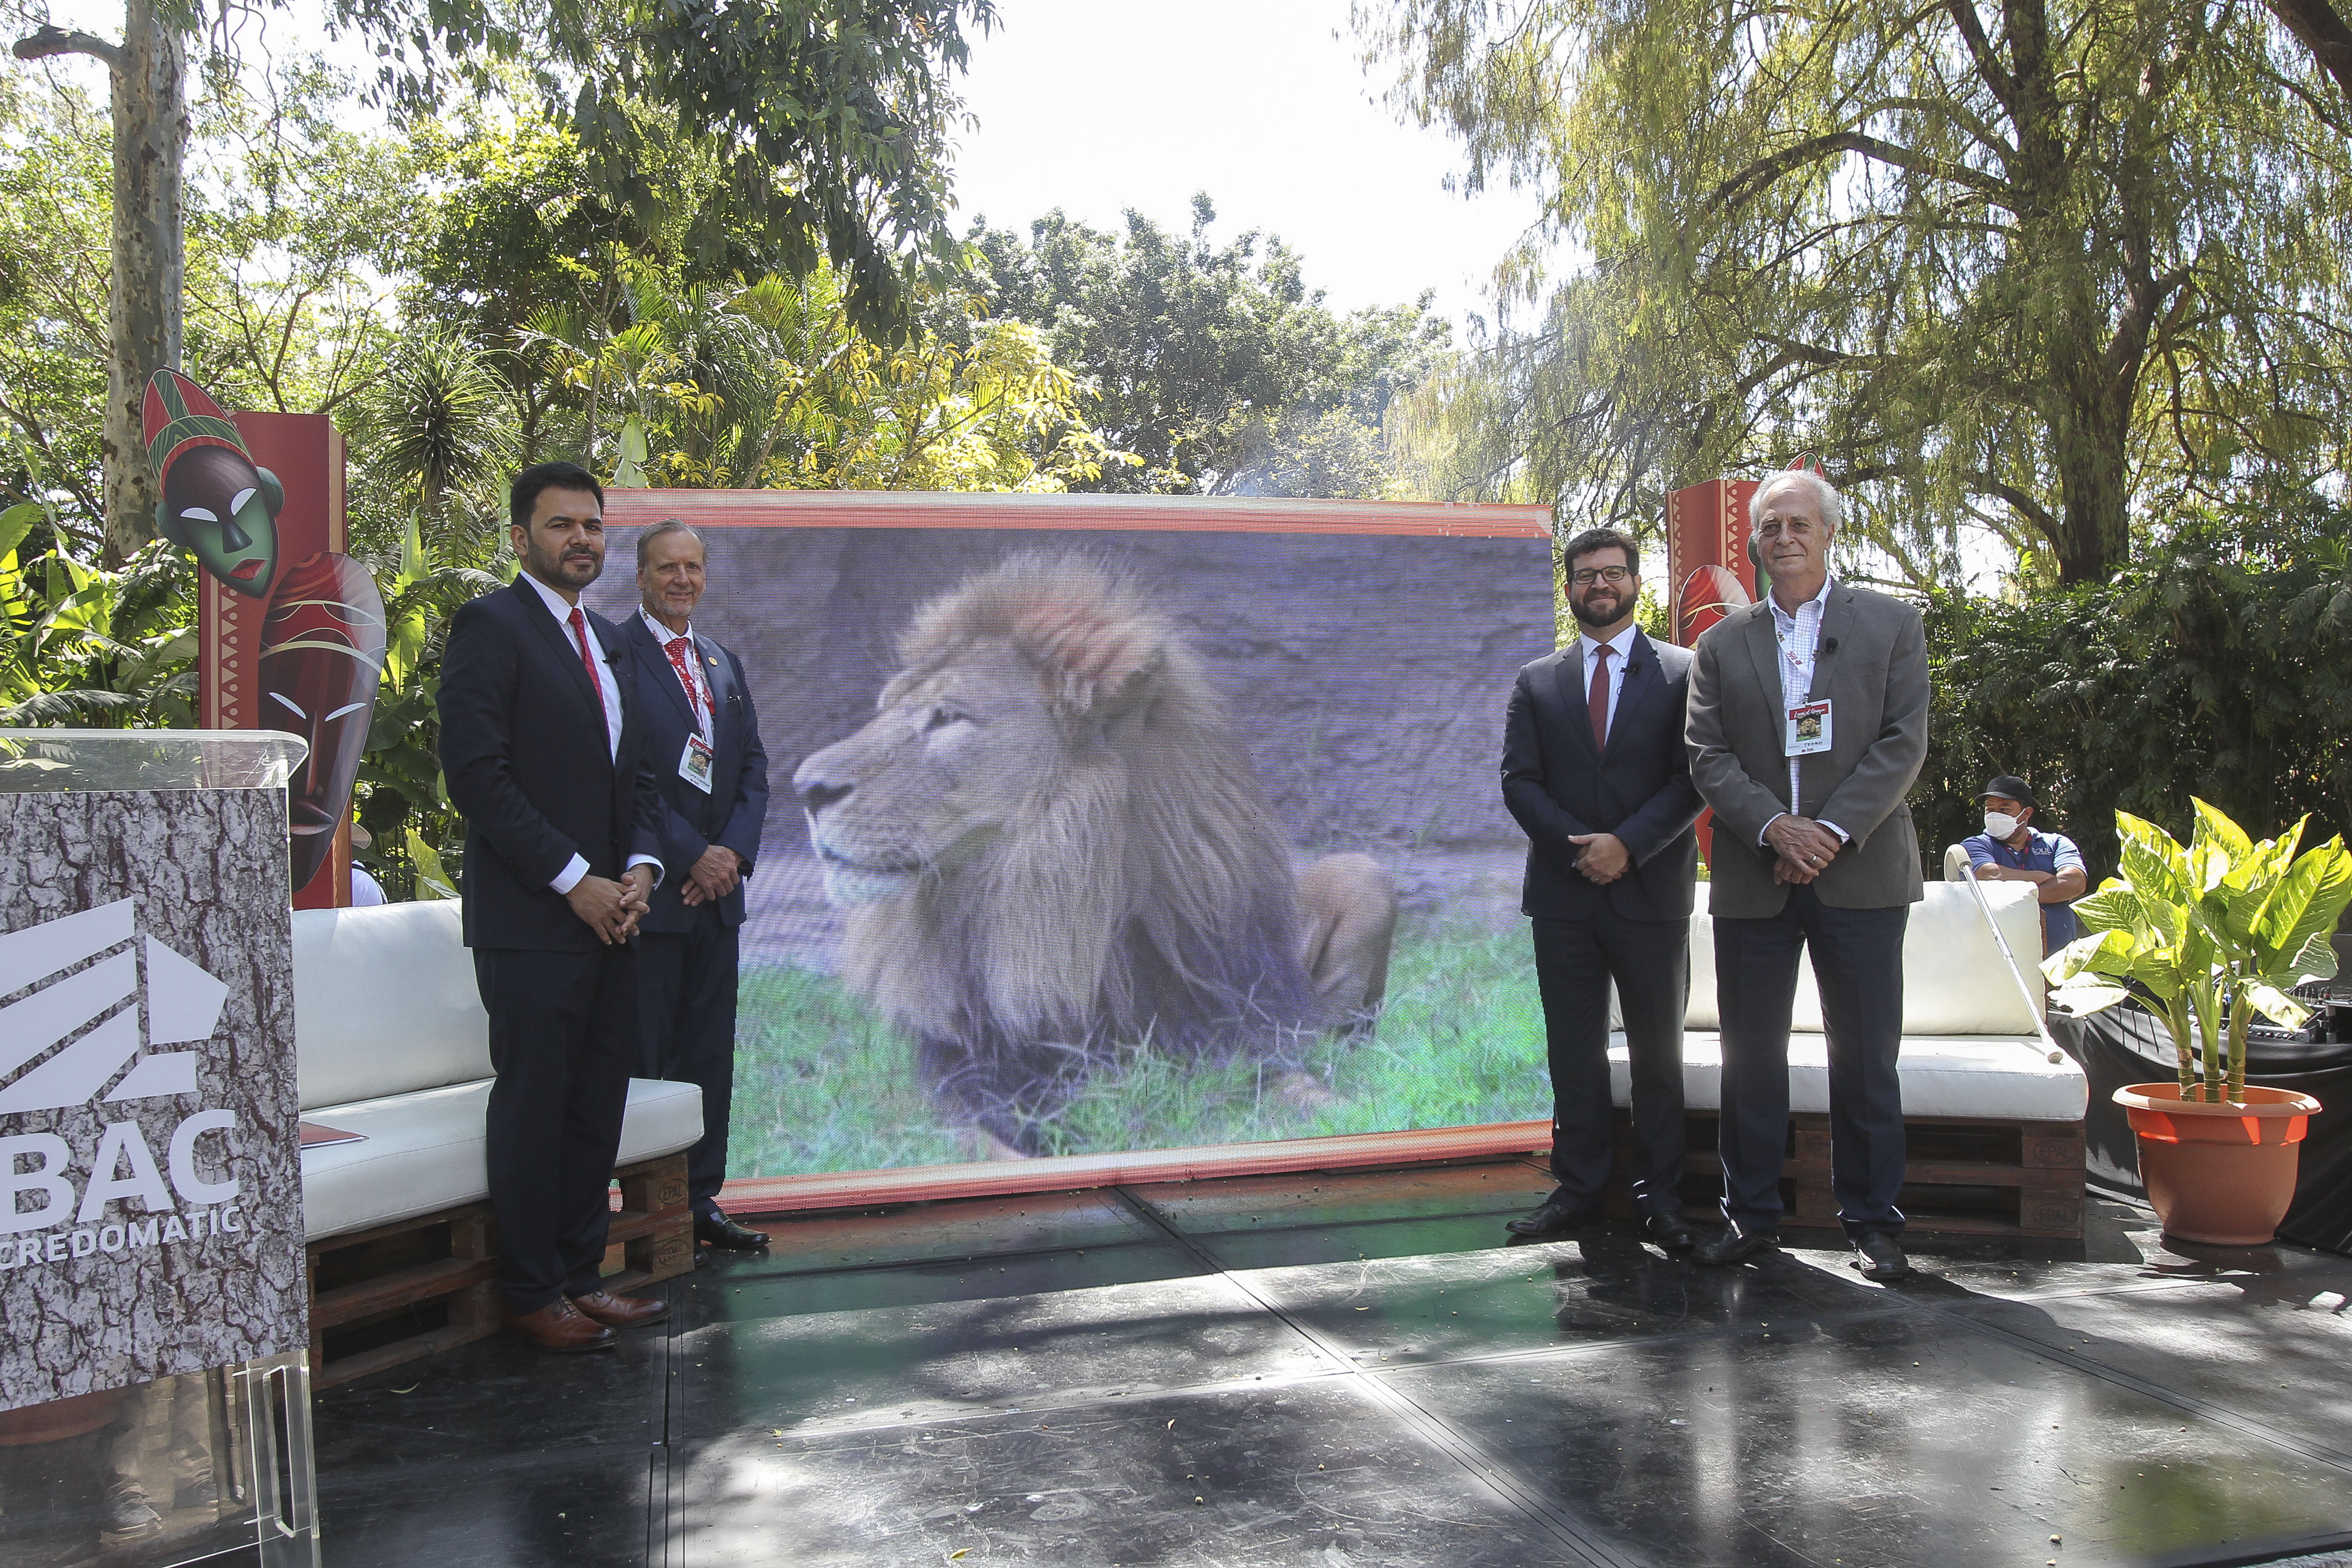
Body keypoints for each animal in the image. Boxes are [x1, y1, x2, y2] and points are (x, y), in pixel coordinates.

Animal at [799, 552, 1392, 1152]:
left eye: (947, 717)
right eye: (886, 708)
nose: (807, 789)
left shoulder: (1235, 1039)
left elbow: (1306, 1086)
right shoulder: (968, 1089)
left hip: (1363, 876)